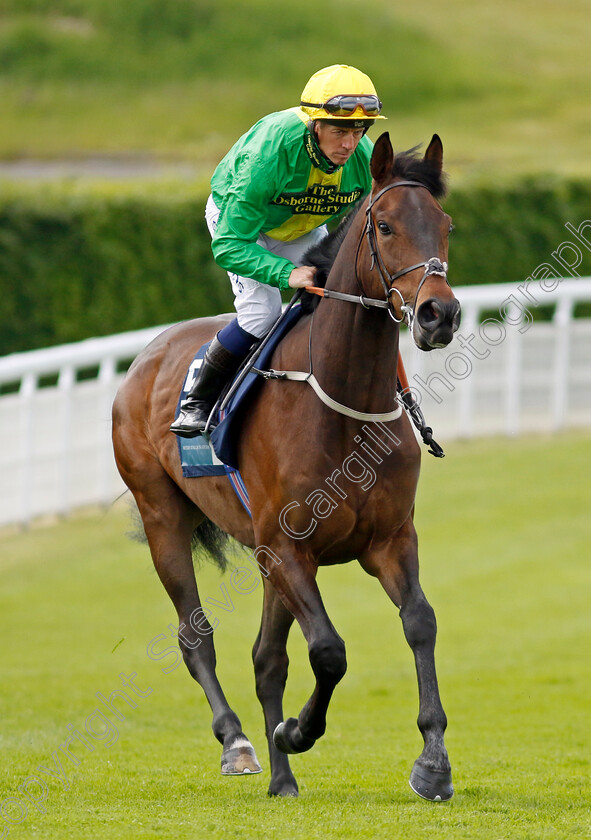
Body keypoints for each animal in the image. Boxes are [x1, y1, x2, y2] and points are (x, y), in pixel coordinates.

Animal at [112, 131, 462, 800]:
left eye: (445, 225)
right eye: (384, 225)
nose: (440, 314)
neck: (344, 402)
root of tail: (148, 354)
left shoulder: (388, 539)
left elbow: (422, 622)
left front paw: (433, 762)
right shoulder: (289, 547)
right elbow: (328, 650)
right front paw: (298, 731)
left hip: (263, 558)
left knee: (265, 658)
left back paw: (282, 780)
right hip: (164, 516)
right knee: (196, 637)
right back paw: (242, 744)